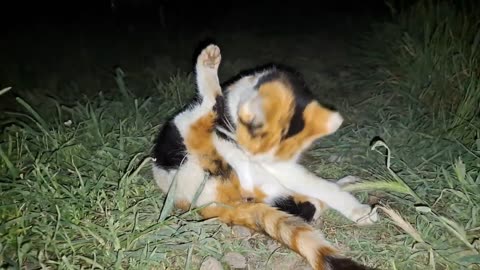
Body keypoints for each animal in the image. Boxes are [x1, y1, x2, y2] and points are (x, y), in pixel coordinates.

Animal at [152, 44, 376, 270]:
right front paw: (356, 208)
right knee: (207, 106)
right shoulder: (281, 167)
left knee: (309, 205)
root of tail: (203, 202)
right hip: (187, 128)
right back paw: (208, 62)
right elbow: (319, 185)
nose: (250, 155)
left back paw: (349, 184)